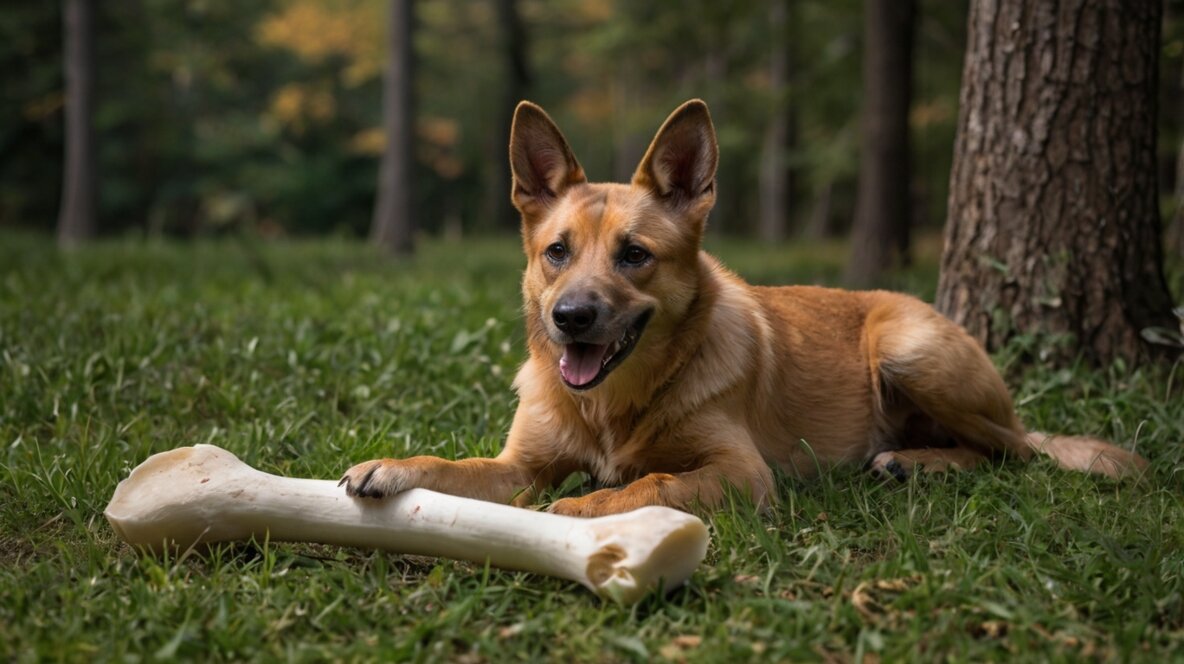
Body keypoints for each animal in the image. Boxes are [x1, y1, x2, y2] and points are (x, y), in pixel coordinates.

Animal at [340, 98, 1146, 516]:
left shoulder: (738, 472)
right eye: (557, 252)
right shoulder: (520, 466)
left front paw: (575, 513)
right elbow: (451, 464)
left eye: (635, 255)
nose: (569, 319)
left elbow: (646, 485)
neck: (614, 407)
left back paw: (915, 463)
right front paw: (393, 466)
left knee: (1010, 451)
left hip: (909, 351)